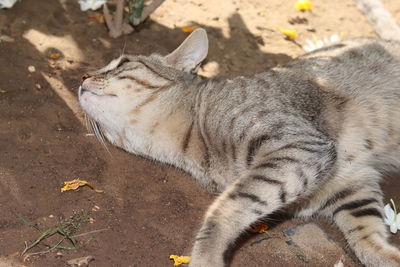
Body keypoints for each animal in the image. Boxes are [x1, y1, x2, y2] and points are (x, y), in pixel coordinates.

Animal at [78, 28, 400, 266]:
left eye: (121, 64)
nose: (81, 76)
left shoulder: (301, 146)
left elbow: (227, 208)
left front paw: (205, 257)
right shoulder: (350, 187)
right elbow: (366, 237)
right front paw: (388, 256)